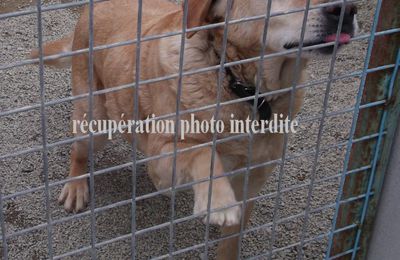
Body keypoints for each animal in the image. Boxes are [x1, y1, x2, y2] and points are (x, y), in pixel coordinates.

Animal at [30, 0, 356, 258]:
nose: (348, 10)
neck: (241, 87)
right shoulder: (162, 163)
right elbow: (203, 153)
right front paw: (218, 200)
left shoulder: (252, 181)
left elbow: (231, 241)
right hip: (95, 119)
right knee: (79, 152)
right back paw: (76, 186)